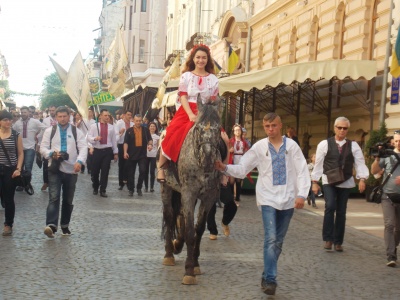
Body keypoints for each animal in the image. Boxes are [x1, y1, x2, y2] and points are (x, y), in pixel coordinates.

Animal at [162, 95, 225, 284]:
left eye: (218, 129)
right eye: (197, 128)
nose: (208, 157)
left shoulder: (208, 197)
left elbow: (198, 229)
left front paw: (195, 264)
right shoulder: (188, 193)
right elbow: (190, 230)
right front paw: (189, 270)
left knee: (180, 215)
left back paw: (178, 243)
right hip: (166, 187)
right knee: (169, 216)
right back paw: (169, 253)